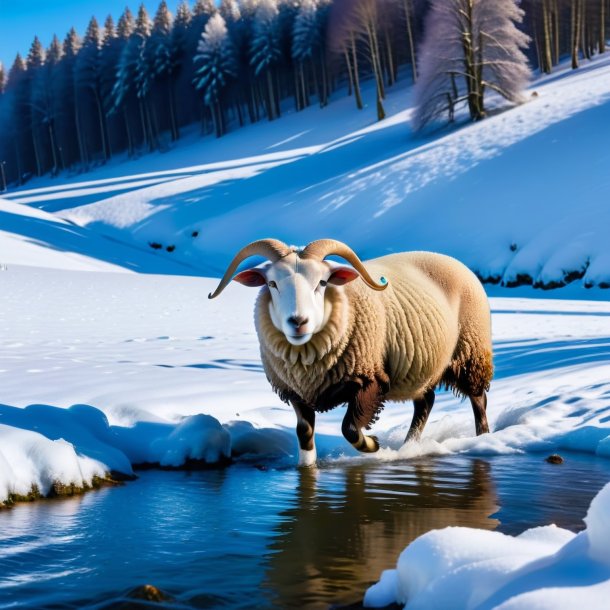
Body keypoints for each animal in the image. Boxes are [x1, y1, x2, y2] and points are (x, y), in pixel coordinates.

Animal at [207, 239, 492, 466]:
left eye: (322, 282)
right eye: (272, 283)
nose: (298, 322)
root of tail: (451, 259)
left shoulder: (371, 379)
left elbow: (350, 428)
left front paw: (373, 444)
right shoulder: (296, 390)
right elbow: (304, 434)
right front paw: (308, 468)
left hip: (471, 353)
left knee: (478, 400)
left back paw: (484, 439)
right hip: (422, 368)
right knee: (426, 402)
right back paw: (409, 447)